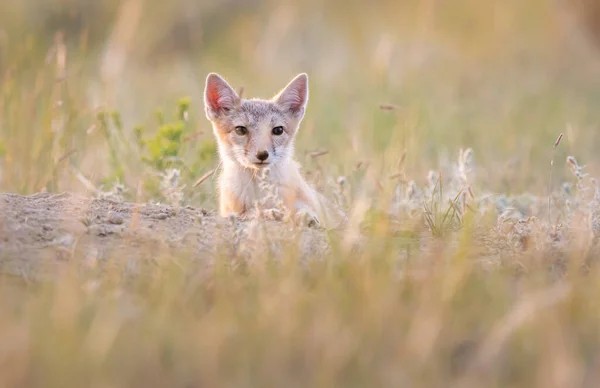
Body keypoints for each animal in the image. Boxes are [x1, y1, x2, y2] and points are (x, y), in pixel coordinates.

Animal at [204, 73, 342, 227]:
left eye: (278, 130)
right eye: (240, 130)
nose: (262, 154)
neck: (261, 189)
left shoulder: (307, 201)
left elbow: (304, 209)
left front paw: (306, 216)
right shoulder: (231, 211)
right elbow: (251, 212)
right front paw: (269, 213)